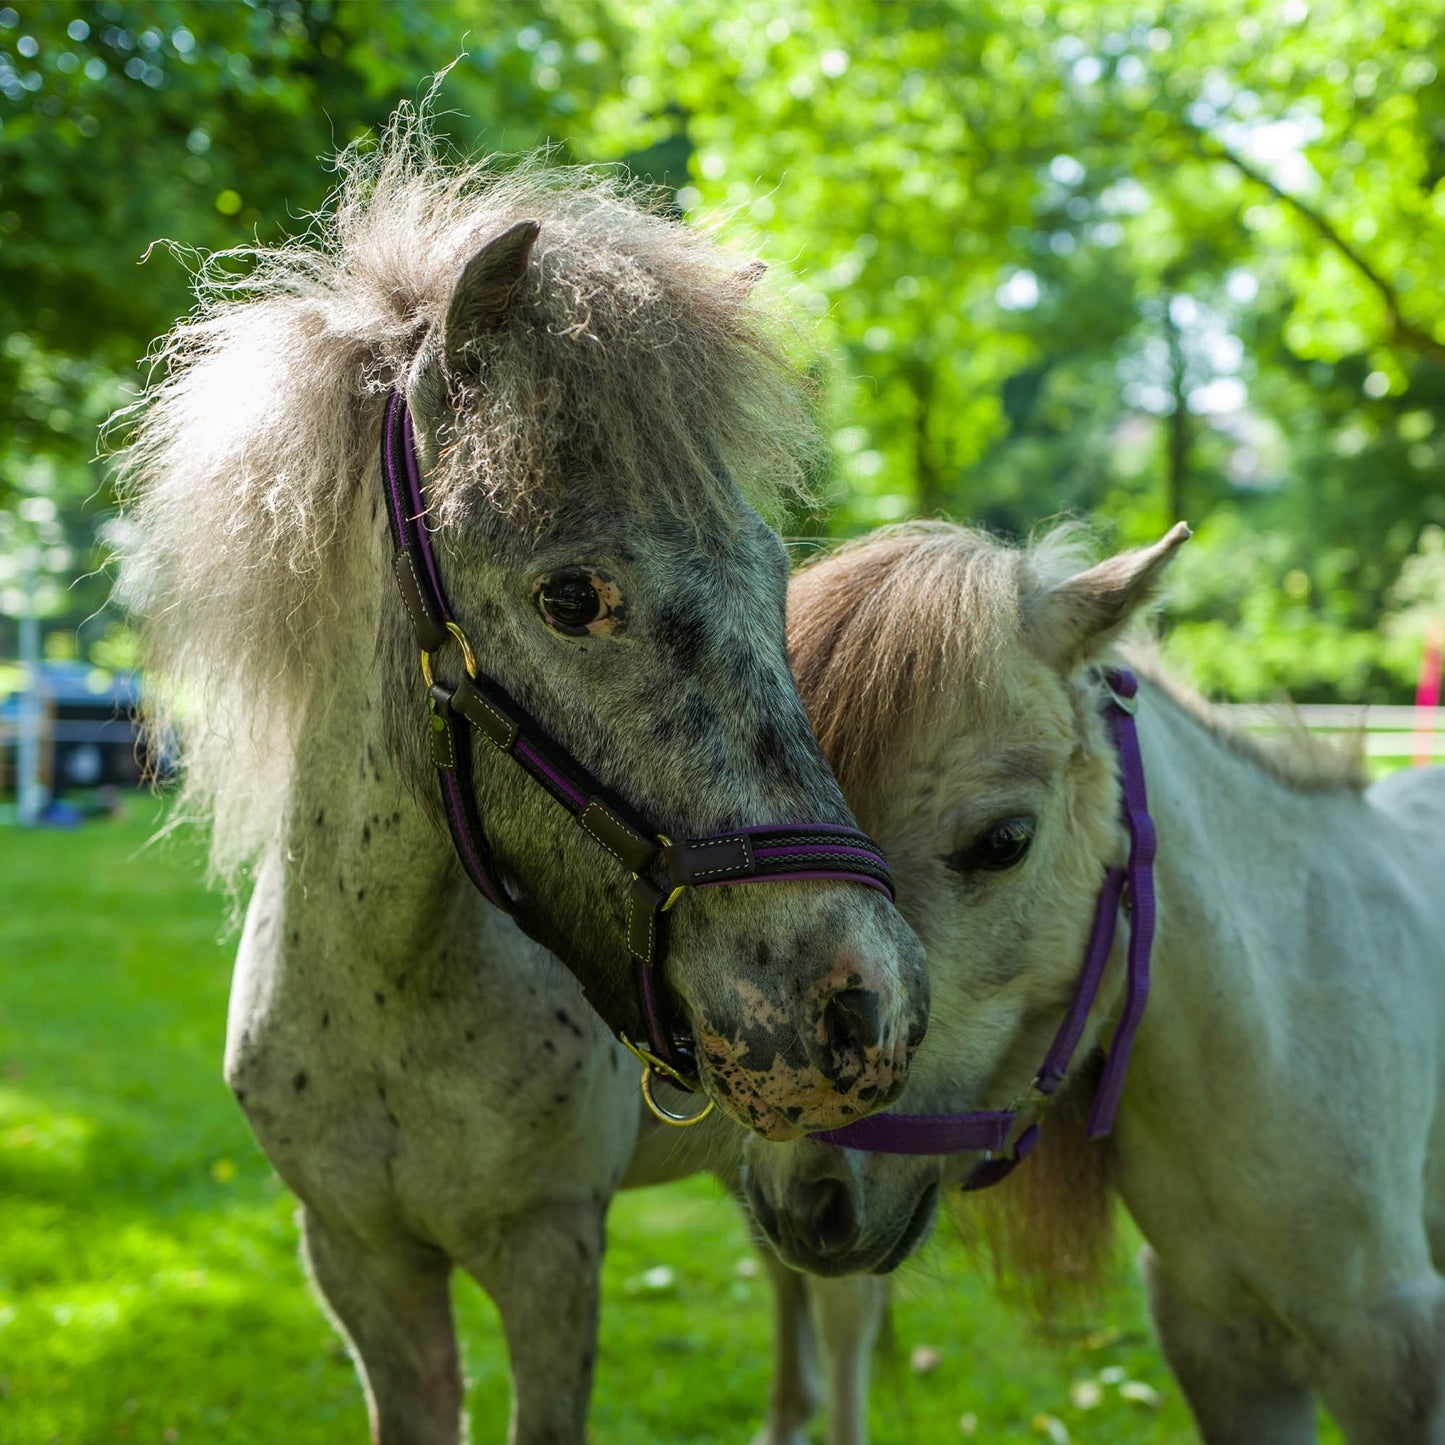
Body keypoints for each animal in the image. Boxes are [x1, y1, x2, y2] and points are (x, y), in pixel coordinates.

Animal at [111, 115, 926, 1445]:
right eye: (571, 595)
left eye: (771, 573)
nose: (863, 1000)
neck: (391, 995)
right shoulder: (359, 1264)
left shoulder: (550, 1254)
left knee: (847, 1324)